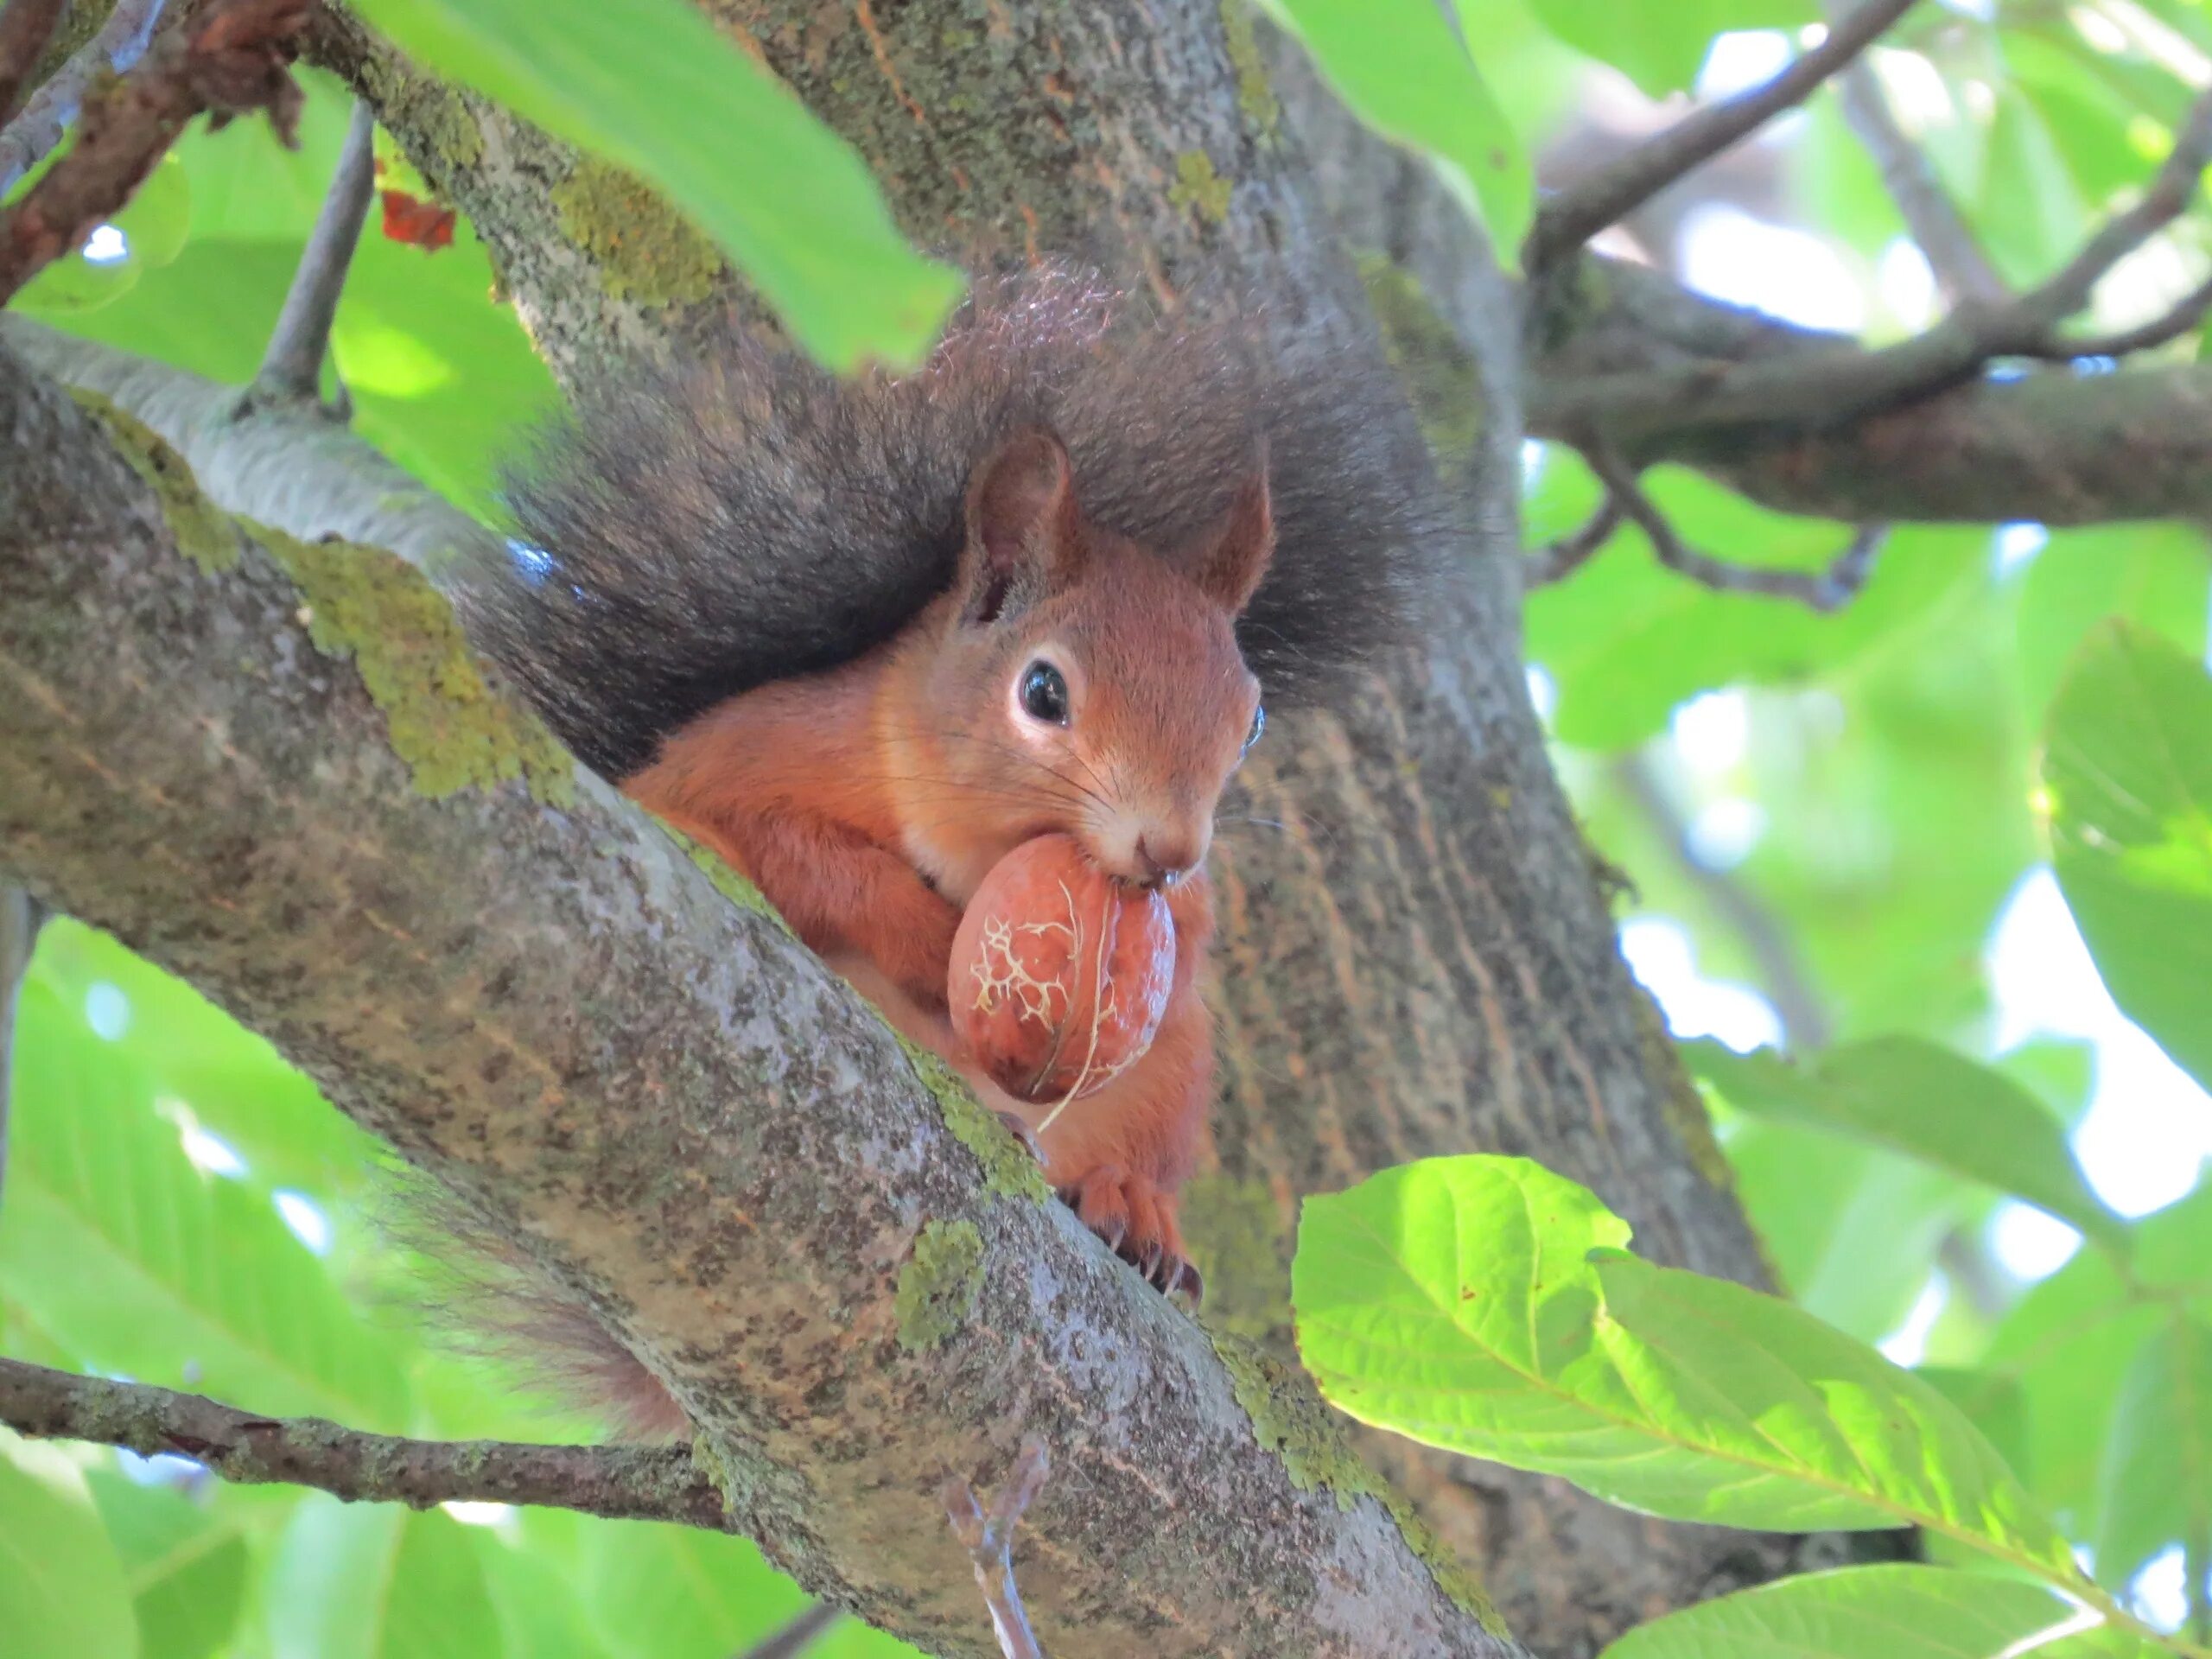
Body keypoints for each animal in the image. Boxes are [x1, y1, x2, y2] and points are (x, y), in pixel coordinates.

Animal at [457, 266, 1442, 1424]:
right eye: (1043, 691)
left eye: (1248, 721)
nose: (1166, 847)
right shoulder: (741, 766)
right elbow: (803, 852)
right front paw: (929, 941)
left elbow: (1187, 943)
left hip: (1169, 1085)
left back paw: (1128, 1206)